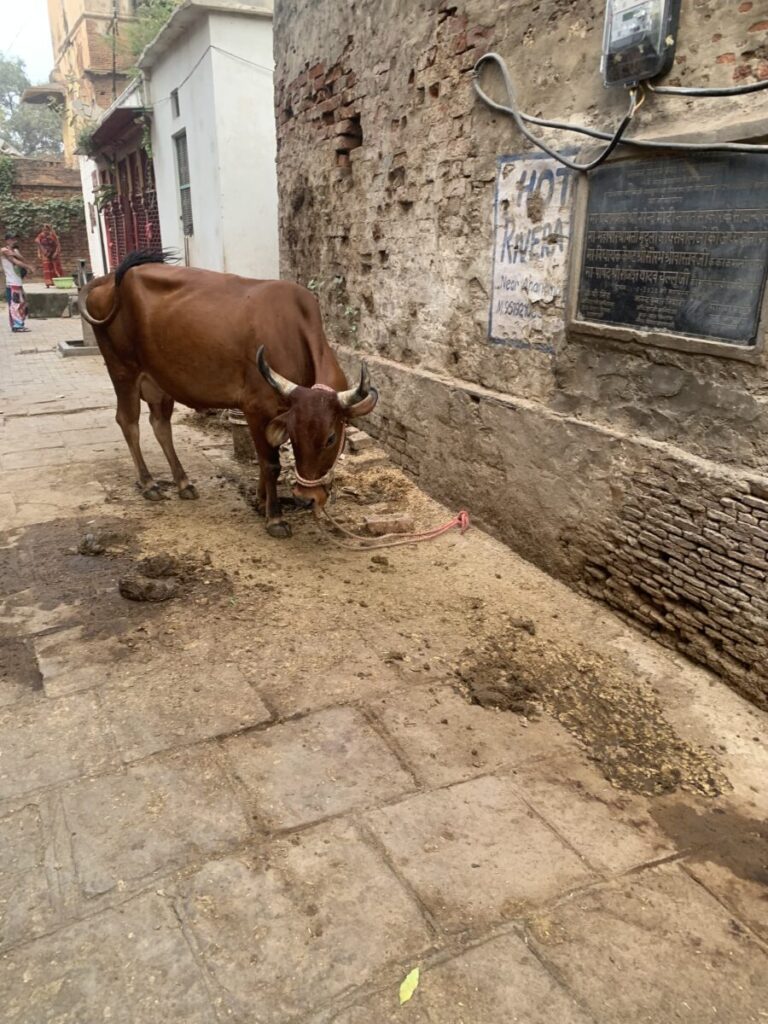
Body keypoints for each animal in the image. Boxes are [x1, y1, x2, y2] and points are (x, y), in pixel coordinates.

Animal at [78, 249, 378, 536]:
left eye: (330, 438)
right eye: (294, 435)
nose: (306, 498)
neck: (293, 332)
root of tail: (109, 279)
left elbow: (264, 461)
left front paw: (260, 501)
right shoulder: (257, 408)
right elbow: (270, 463)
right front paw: (274, 517)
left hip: (159, 381)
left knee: (160, 425)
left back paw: (183, 483)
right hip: (123, 371)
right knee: (128, 423)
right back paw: (150, 483)